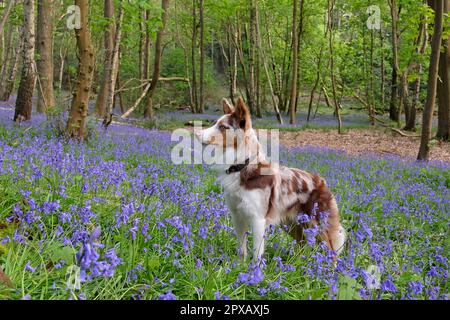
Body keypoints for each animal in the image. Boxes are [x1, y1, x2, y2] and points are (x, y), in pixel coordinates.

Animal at [195, 98, 346, 262]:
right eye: (215, 123)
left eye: (223, 127)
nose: (196, 133)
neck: (243, 166)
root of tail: (321, 181)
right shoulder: (237, 216)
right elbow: (242, 248)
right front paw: (240, 266)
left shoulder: (258, 220)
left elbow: (256, 253)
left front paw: (255, 269)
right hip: (292, 224)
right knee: (301, 244)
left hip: (318, 225)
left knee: (332, 253)